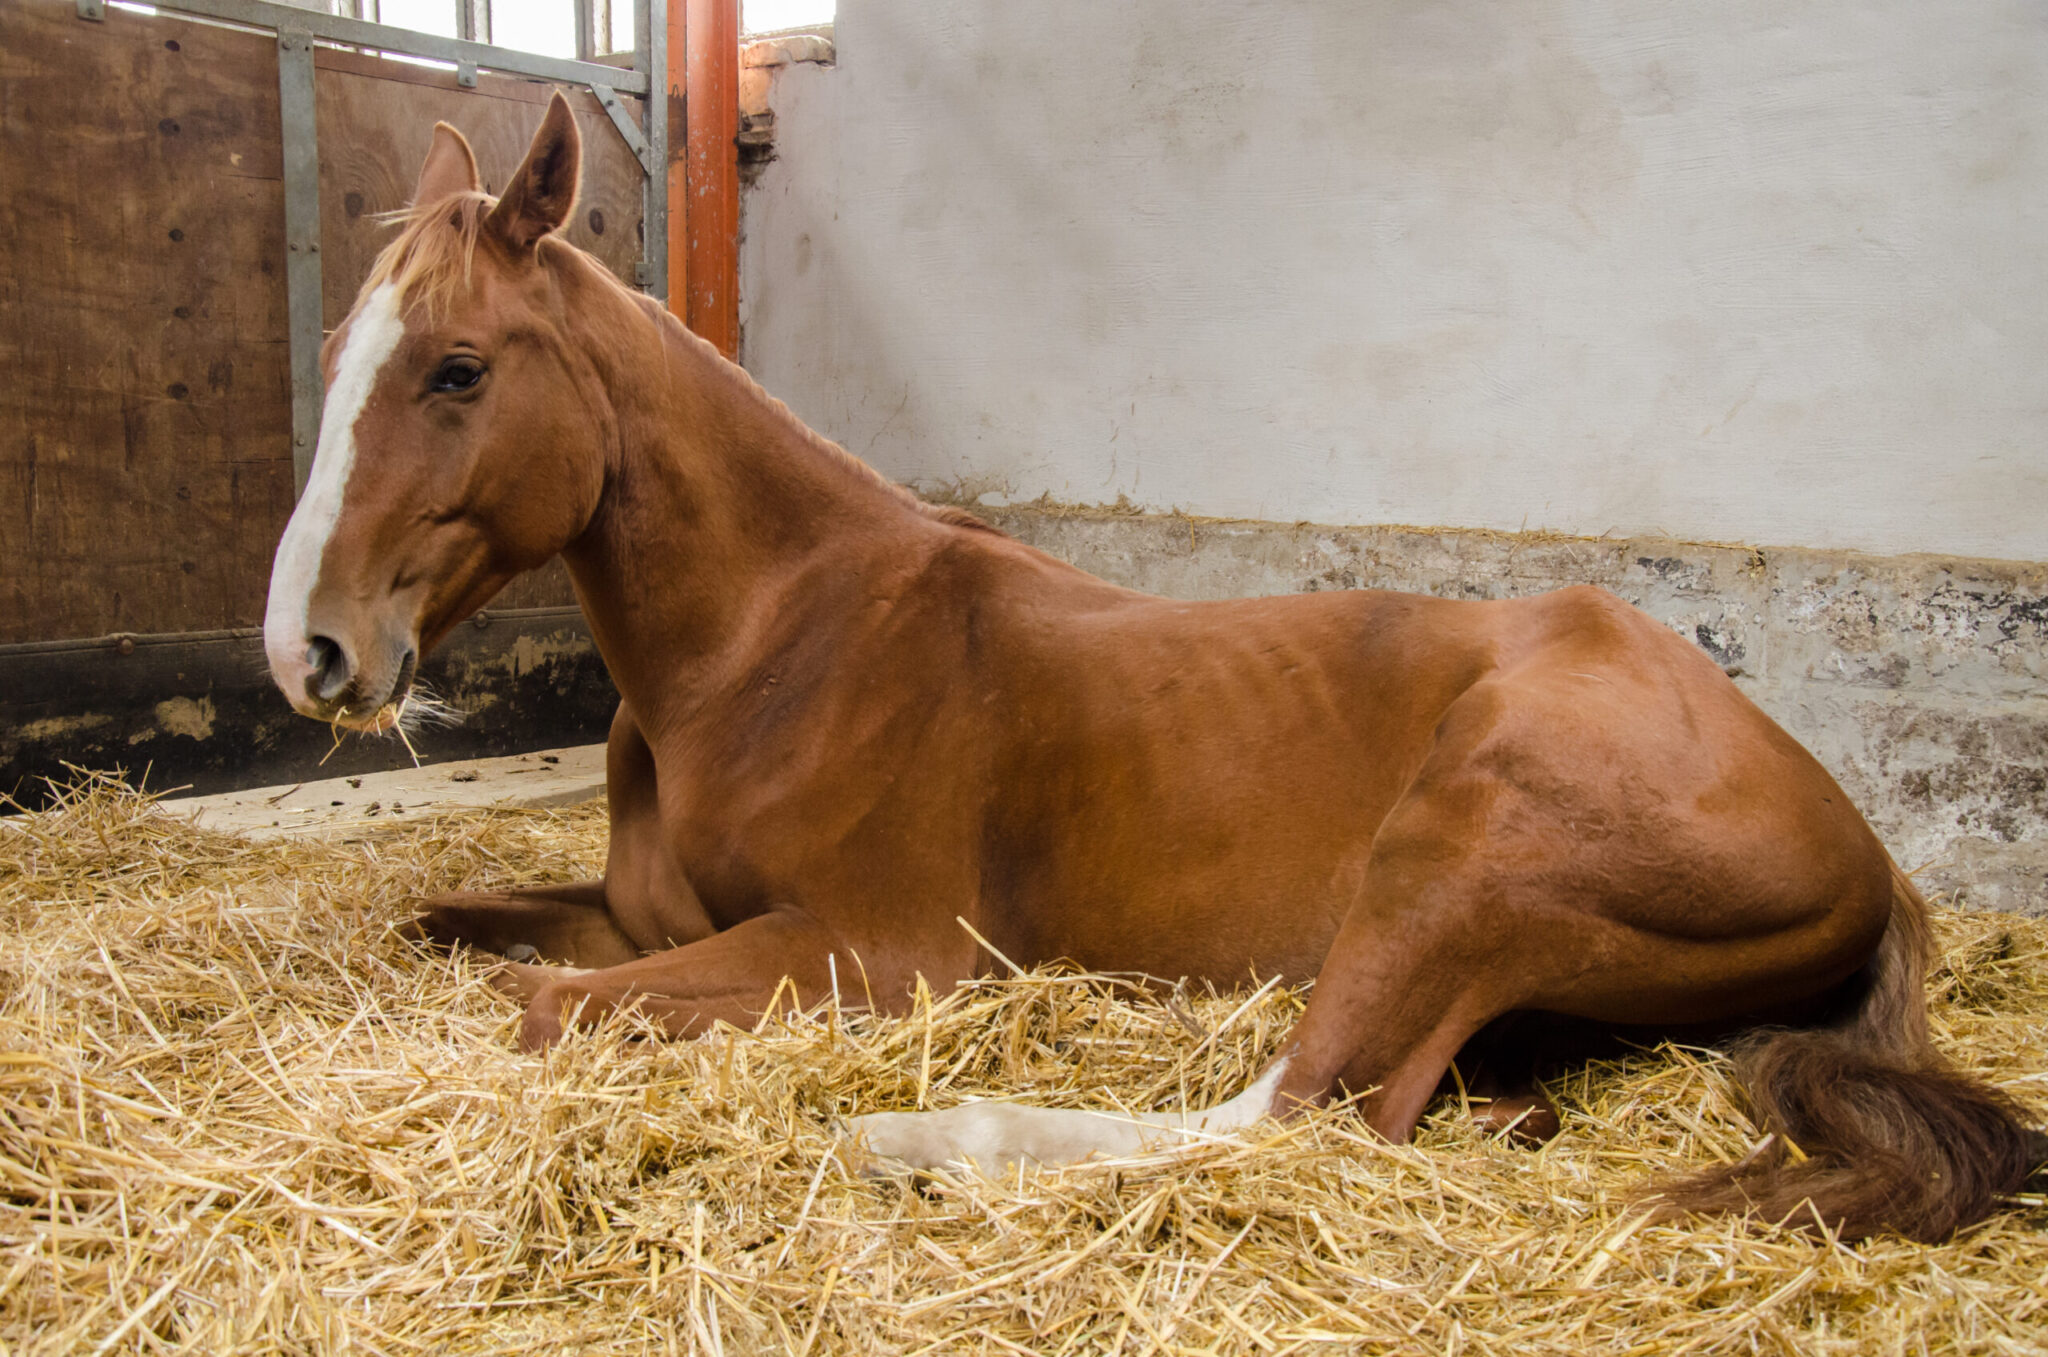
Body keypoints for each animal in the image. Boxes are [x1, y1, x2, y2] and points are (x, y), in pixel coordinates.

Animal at [264, 93, 2039, 1244]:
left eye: (458, 368)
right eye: (347, 352)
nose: (310, 649)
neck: (779, 645)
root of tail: (1864, 845)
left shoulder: (876, 952)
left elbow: (545, 1010)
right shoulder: (650, 919)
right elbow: (456, 927)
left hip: (1470, 850)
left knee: (1302, 1103)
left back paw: (921, 1136)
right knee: (1423, 1096)